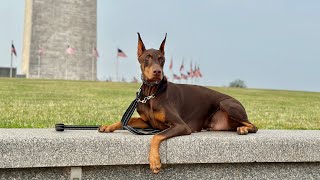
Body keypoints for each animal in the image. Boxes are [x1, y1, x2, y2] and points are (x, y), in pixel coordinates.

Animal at [99, 33, 258, 174]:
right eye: (147, 58)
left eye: (162, 59)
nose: (157, 71)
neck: (152, 94)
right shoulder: (148, 122)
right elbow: (127, 120)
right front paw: (108, 126)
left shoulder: (181, 125)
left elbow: (156, 136)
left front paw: (155, 161)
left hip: (227, 105)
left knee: (253, 126)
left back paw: (244, 129)